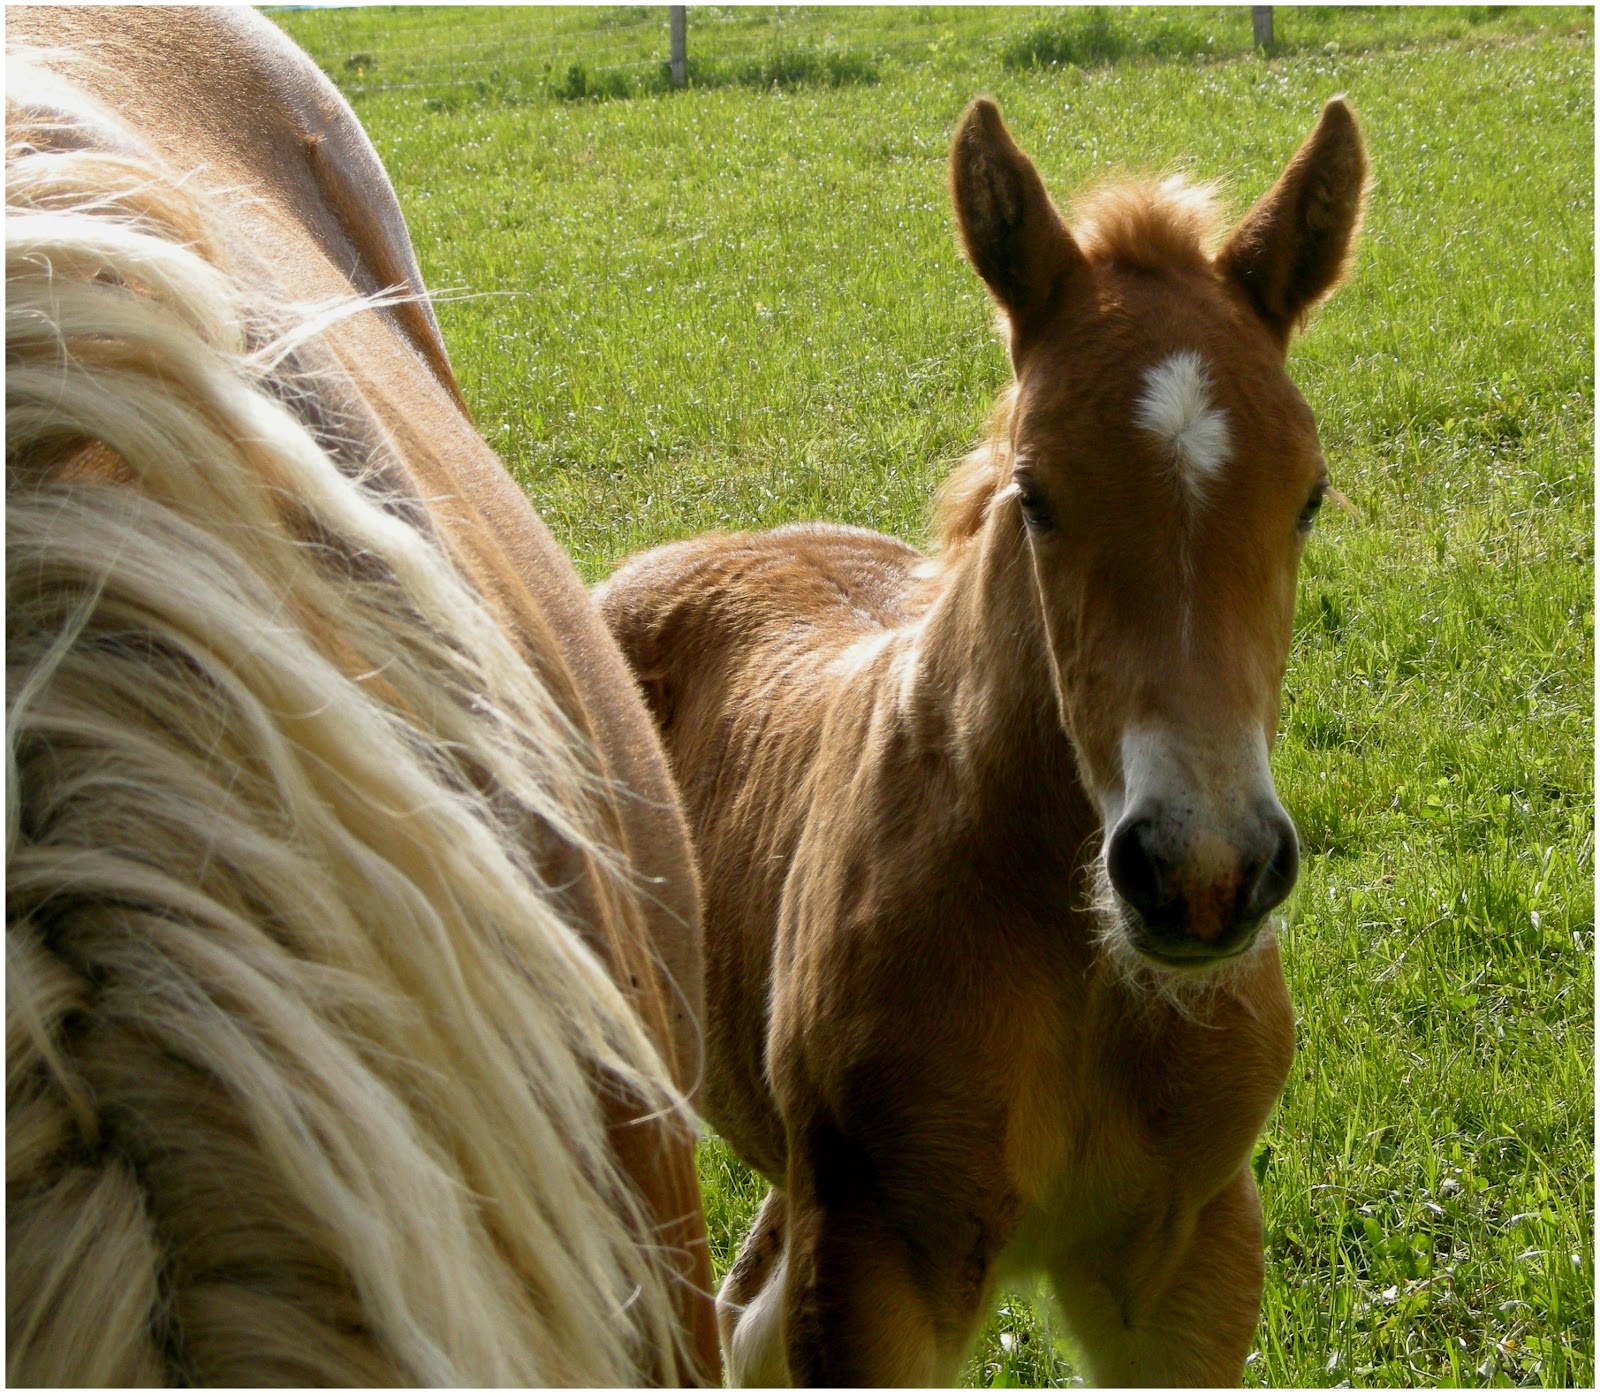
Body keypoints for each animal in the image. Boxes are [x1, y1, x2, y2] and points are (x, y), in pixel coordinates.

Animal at [598, 96, 1367, 1385]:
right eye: (1036, 493)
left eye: (1308, 494)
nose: (1202, 872)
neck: (1082, 971)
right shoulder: (873, 1276)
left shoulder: (1194, 1260)